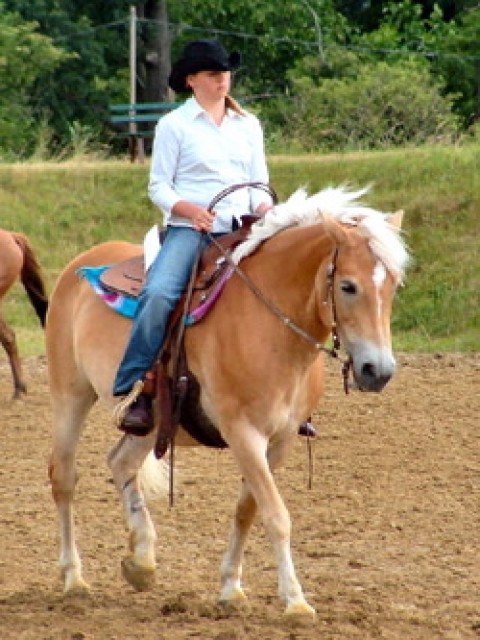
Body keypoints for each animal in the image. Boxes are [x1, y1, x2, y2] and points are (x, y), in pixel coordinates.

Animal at [46, 185, 409, 616]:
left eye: (393, 286)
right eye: (349, 286)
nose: (378, 371)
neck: (271, 327)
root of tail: (80, 264)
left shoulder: (281, 439)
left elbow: (248, 509)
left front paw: (231, 588)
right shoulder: (243, 432)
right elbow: (276, 514)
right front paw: (296, 601)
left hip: (152, 421)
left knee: (121, 462)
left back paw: (142, 562)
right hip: (70, 395)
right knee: (64, 478)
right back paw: (73, 578)